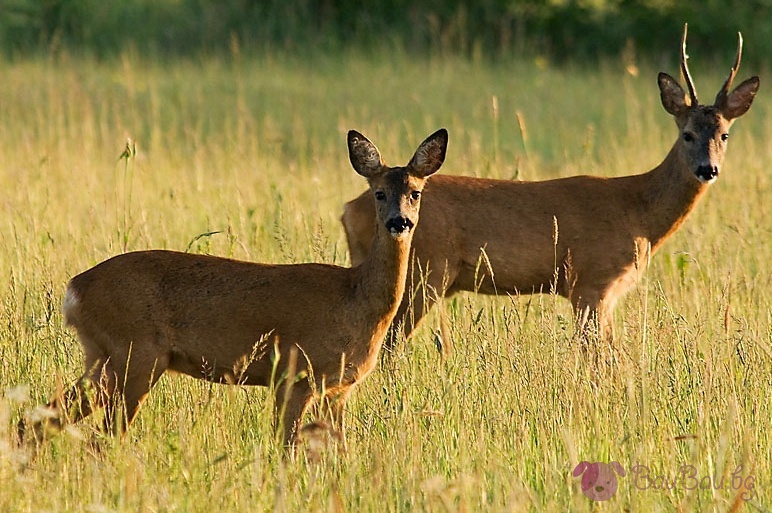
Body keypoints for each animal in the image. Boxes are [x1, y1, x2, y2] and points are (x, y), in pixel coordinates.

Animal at [19, 127, 446, 448]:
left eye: (416, 192)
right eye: (378, 192)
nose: (399, 222)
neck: (355, 298)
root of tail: (75, 290)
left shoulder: (339, 389)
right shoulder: (295, 374)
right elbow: (287, 447)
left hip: (102, 356)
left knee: (40, 418)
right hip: (134, 354)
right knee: (100, 437)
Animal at [342, 26, 760, 346]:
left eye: (724, 134)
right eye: (687, 134)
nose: (708, 169)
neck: (639, 214)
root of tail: (349, 209)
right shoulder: (592, 281)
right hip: (425, 273)